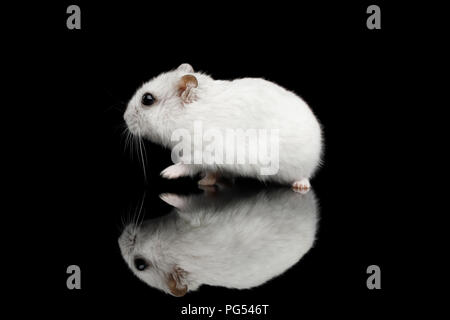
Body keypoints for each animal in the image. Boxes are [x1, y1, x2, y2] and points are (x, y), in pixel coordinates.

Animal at [118, 186, 318, 296]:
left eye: (140, 265)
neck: (170, 246)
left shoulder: (196, 214)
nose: (118, 240)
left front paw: (164, 196)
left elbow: (185, 203)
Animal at [125, 63, 324, 191]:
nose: (124, 118)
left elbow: (188, 164)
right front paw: (204, 182)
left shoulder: (206, 150)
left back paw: (300, 185)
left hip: (300, 166)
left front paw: (166, 173)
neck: (188, 116)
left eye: (147, 99)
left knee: (305, 176)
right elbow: (211, 172)